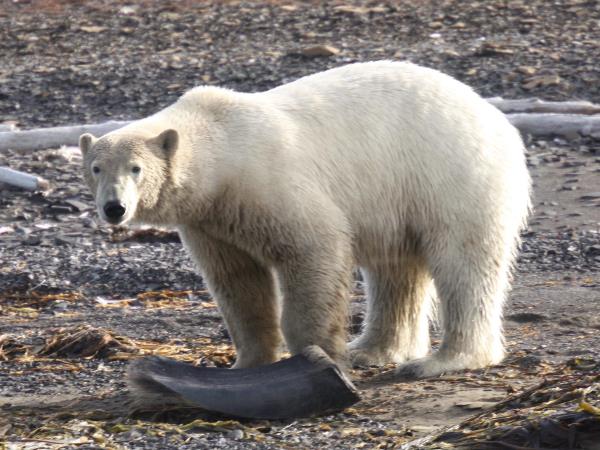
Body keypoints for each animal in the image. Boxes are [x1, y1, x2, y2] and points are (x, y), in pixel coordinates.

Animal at [79, 59, 528, 376]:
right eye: (96, 167)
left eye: (136, 168)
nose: (114, 208)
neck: (220, 151)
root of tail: (496, 117)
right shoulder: (212, 220)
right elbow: (238, 281)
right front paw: (247, 361)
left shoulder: (269, 182)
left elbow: (314, 248)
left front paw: (319, 355)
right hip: (400, 198)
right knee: (397, 269)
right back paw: (372, 350)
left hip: (451, 175)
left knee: (464, 264)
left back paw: (443, 360)